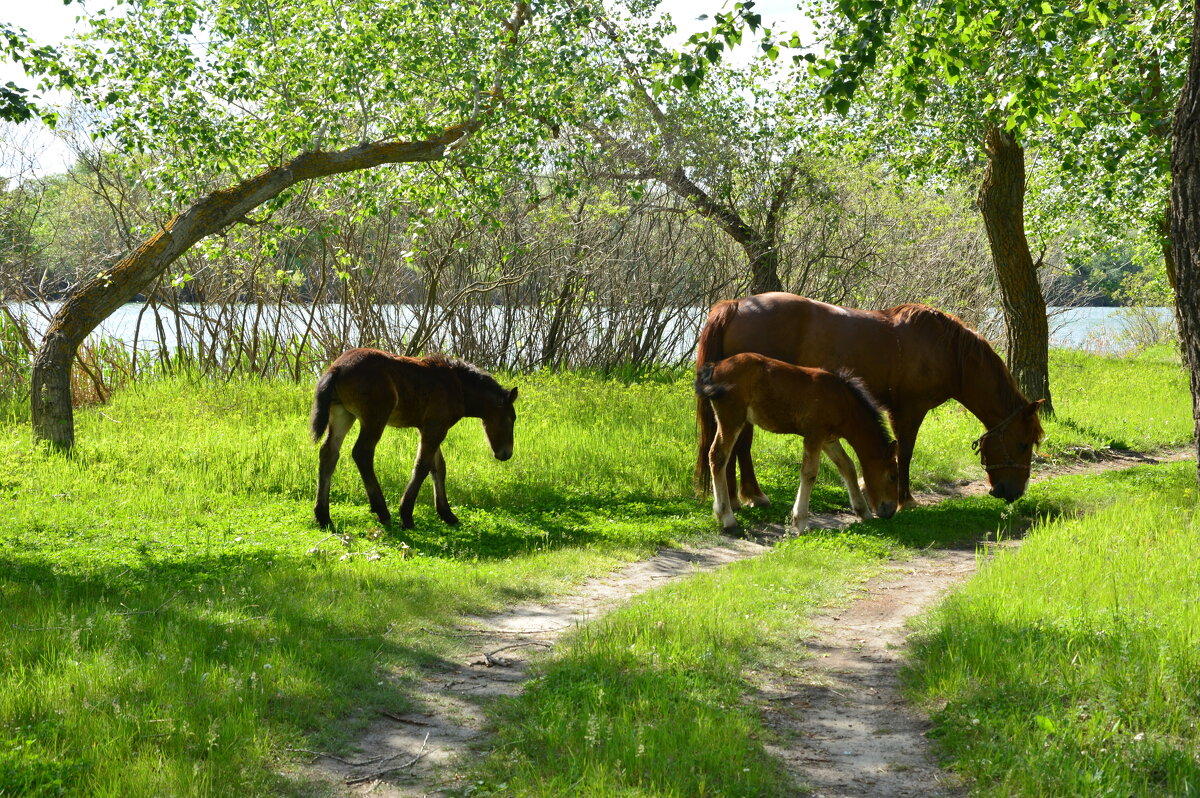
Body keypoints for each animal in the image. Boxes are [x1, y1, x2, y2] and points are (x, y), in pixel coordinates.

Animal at [309, 348, 516, 528]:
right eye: (511, 418)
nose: (506, 454)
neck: (457, 385)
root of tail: (337, 368)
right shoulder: (435, 428)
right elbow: (422, 466)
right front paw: (406, 515)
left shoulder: (428, 429)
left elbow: (438, 468)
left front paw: (446, 513)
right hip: (375, 418)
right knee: (362, 453)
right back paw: (382, 511)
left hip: (343, 414)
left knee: (329, 453)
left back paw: (323, 516)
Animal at [696, 291, 1041, 504]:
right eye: (1023, 444)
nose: (1012, 492)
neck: (946, 350)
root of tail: (736, 305)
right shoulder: (910, 410)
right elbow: (906, 452)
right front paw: (905, 500)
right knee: (740, 446)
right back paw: (752, 496)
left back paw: (736, 497)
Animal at [696, 352, 902, 528]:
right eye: (893, 476)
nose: (891, 511)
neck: (843, 401)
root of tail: (715, 366)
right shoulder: (814, 435)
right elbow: (809, 473)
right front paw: (801, 521)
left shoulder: (829, 440)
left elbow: (848, 467)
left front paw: (863, 512)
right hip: (731, 419)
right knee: (717, 456)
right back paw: (728, 519)